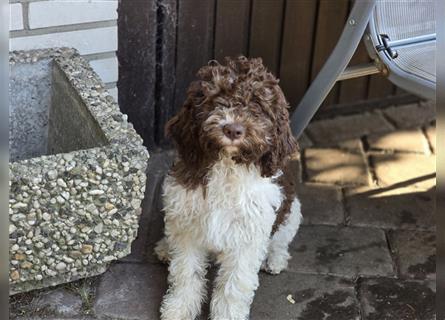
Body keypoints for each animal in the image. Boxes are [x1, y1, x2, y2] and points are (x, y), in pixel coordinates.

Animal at [153, 56, 302, 318]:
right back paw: (164, 248)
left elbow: (234, 285)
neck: (228, 165)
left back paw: (275, 259)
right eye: (216, 99)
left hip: (292, 213)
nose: (233, 129)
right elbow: (186, 273)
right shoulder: (186, 224)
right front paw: (179, 308)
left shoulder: (248, 237)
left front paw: (226, 314)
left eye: (257, 105)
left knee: (280, 241)